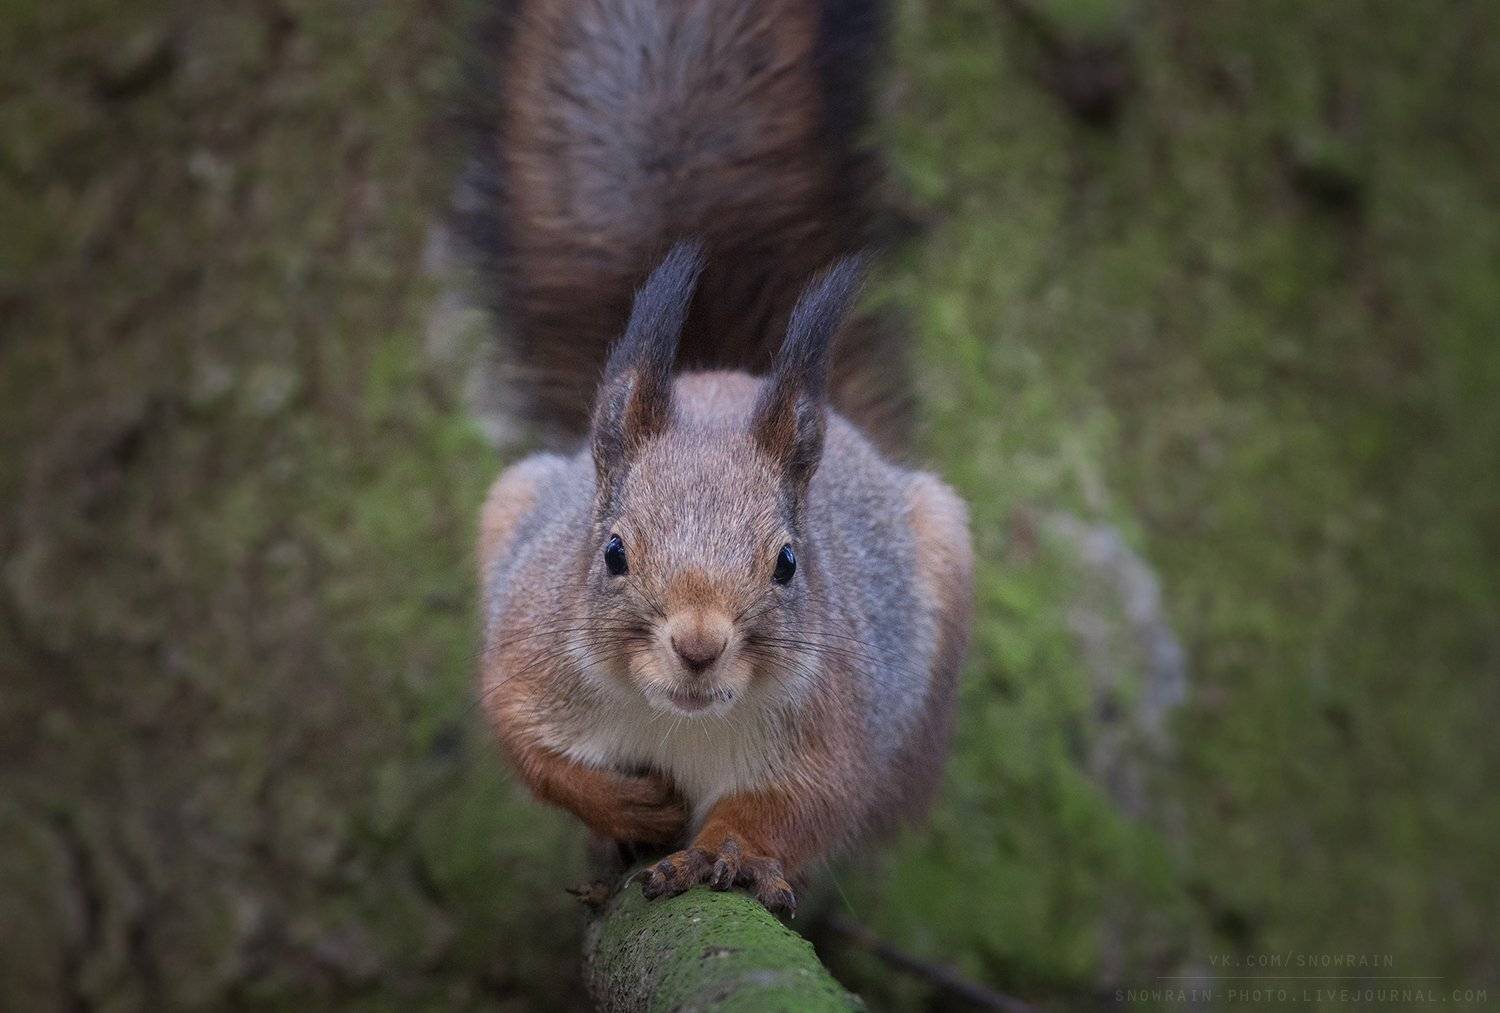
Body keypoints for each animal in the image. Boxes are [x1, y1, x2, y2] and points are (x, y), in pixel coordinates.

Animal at [467, 0, 973, 915]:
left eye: (788, 562)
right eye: (612, 551)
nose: (699, 644)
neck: (682, 720)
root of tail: (721, 370)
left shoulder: (834, 726)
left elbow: (800, 805)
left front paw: (725, 851)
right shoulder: (527, 655)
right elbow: (531, 748)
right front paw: (613, 801)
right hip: (510, 506)